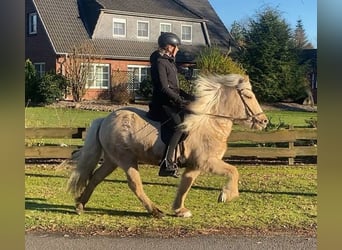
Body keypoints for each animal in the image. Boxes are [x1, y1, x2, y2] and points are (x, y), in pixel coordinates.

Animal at [67, 73, 270, 218]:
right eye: (248, 95)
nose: (264, 121)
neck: (210, 122)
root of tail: (105, 119)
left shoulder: (195, 165)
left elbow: (186, 184)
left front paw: (180, 210)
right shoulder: (207, 161)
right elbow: (234, 171)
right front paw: (227, 195)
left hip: (112, 160)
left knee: (96, 177)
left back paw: (80, 205)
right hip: (126, 159)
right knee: (134, 184)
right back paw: (155, 211)